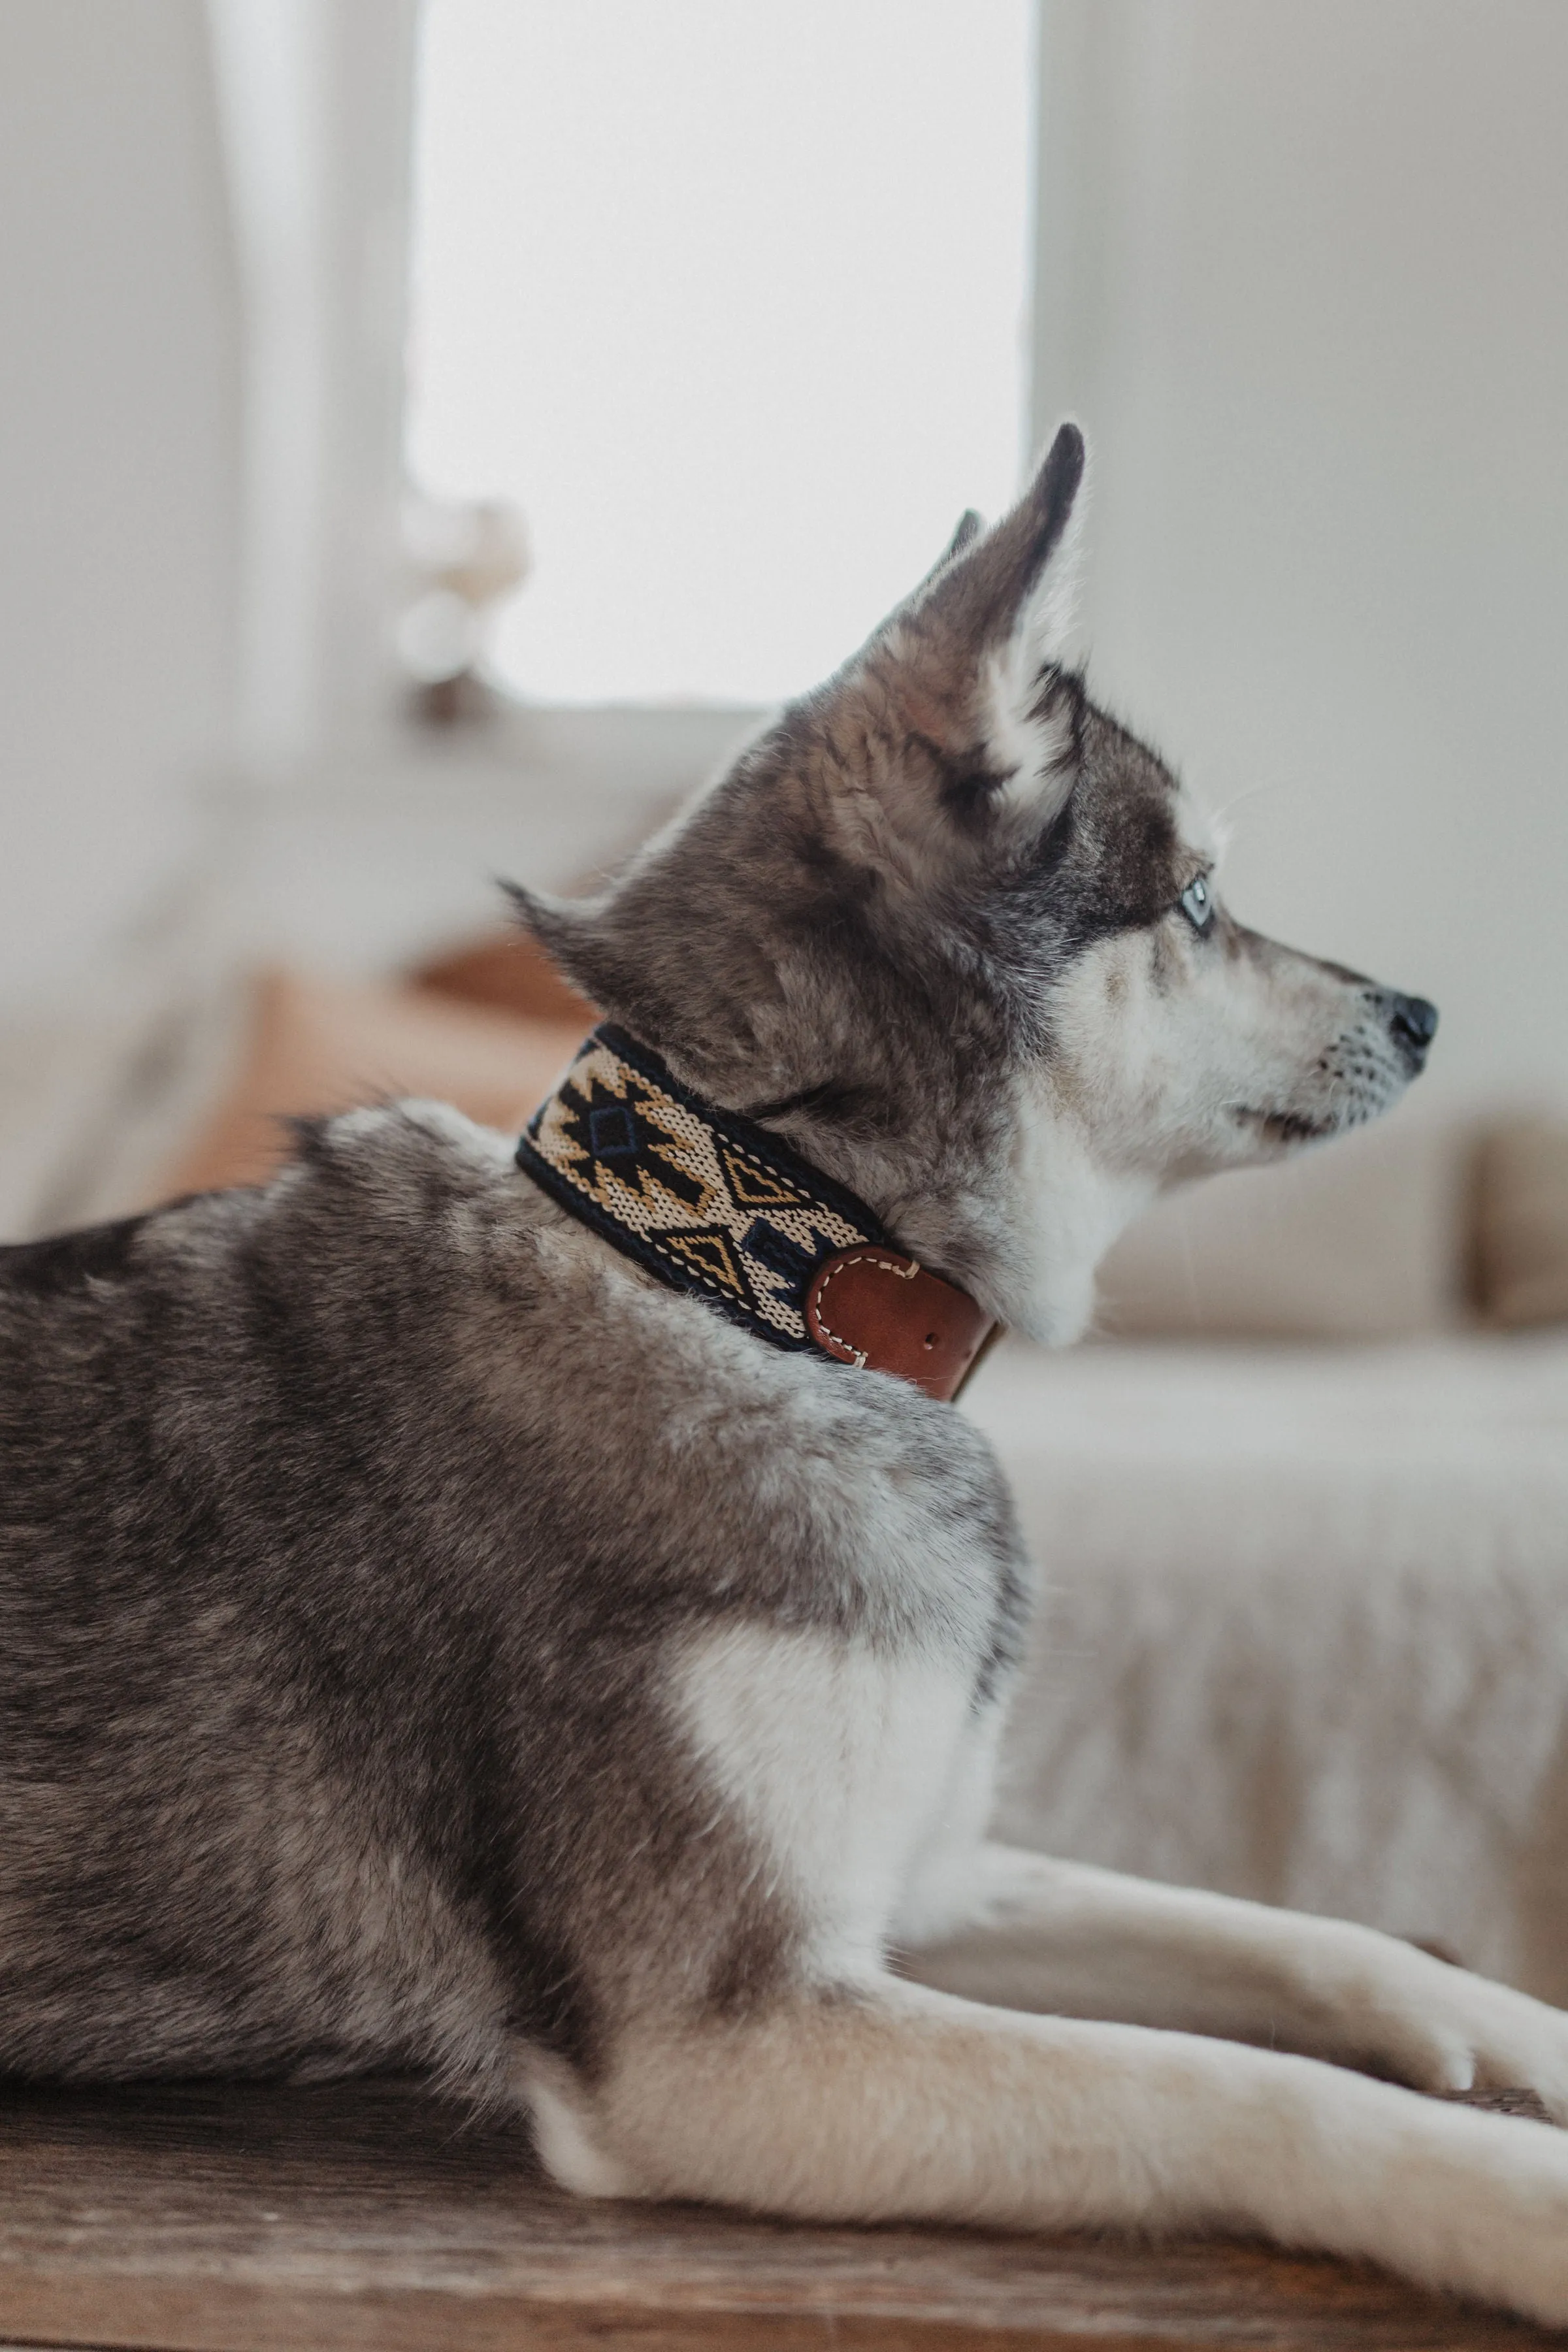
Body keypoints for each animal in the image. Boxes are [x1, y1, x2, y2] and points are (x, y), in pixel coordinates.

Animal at [3, 418, 1568, 2314]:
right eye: (1196, 898)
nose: (1420, 1014)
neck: (757, 1285)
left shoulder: (922, 1871)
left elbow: (1303, 1936)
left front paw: (1510, 2030)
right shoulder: (738, 2043)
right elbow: (1242, 2090)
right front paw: (1517, 2203)